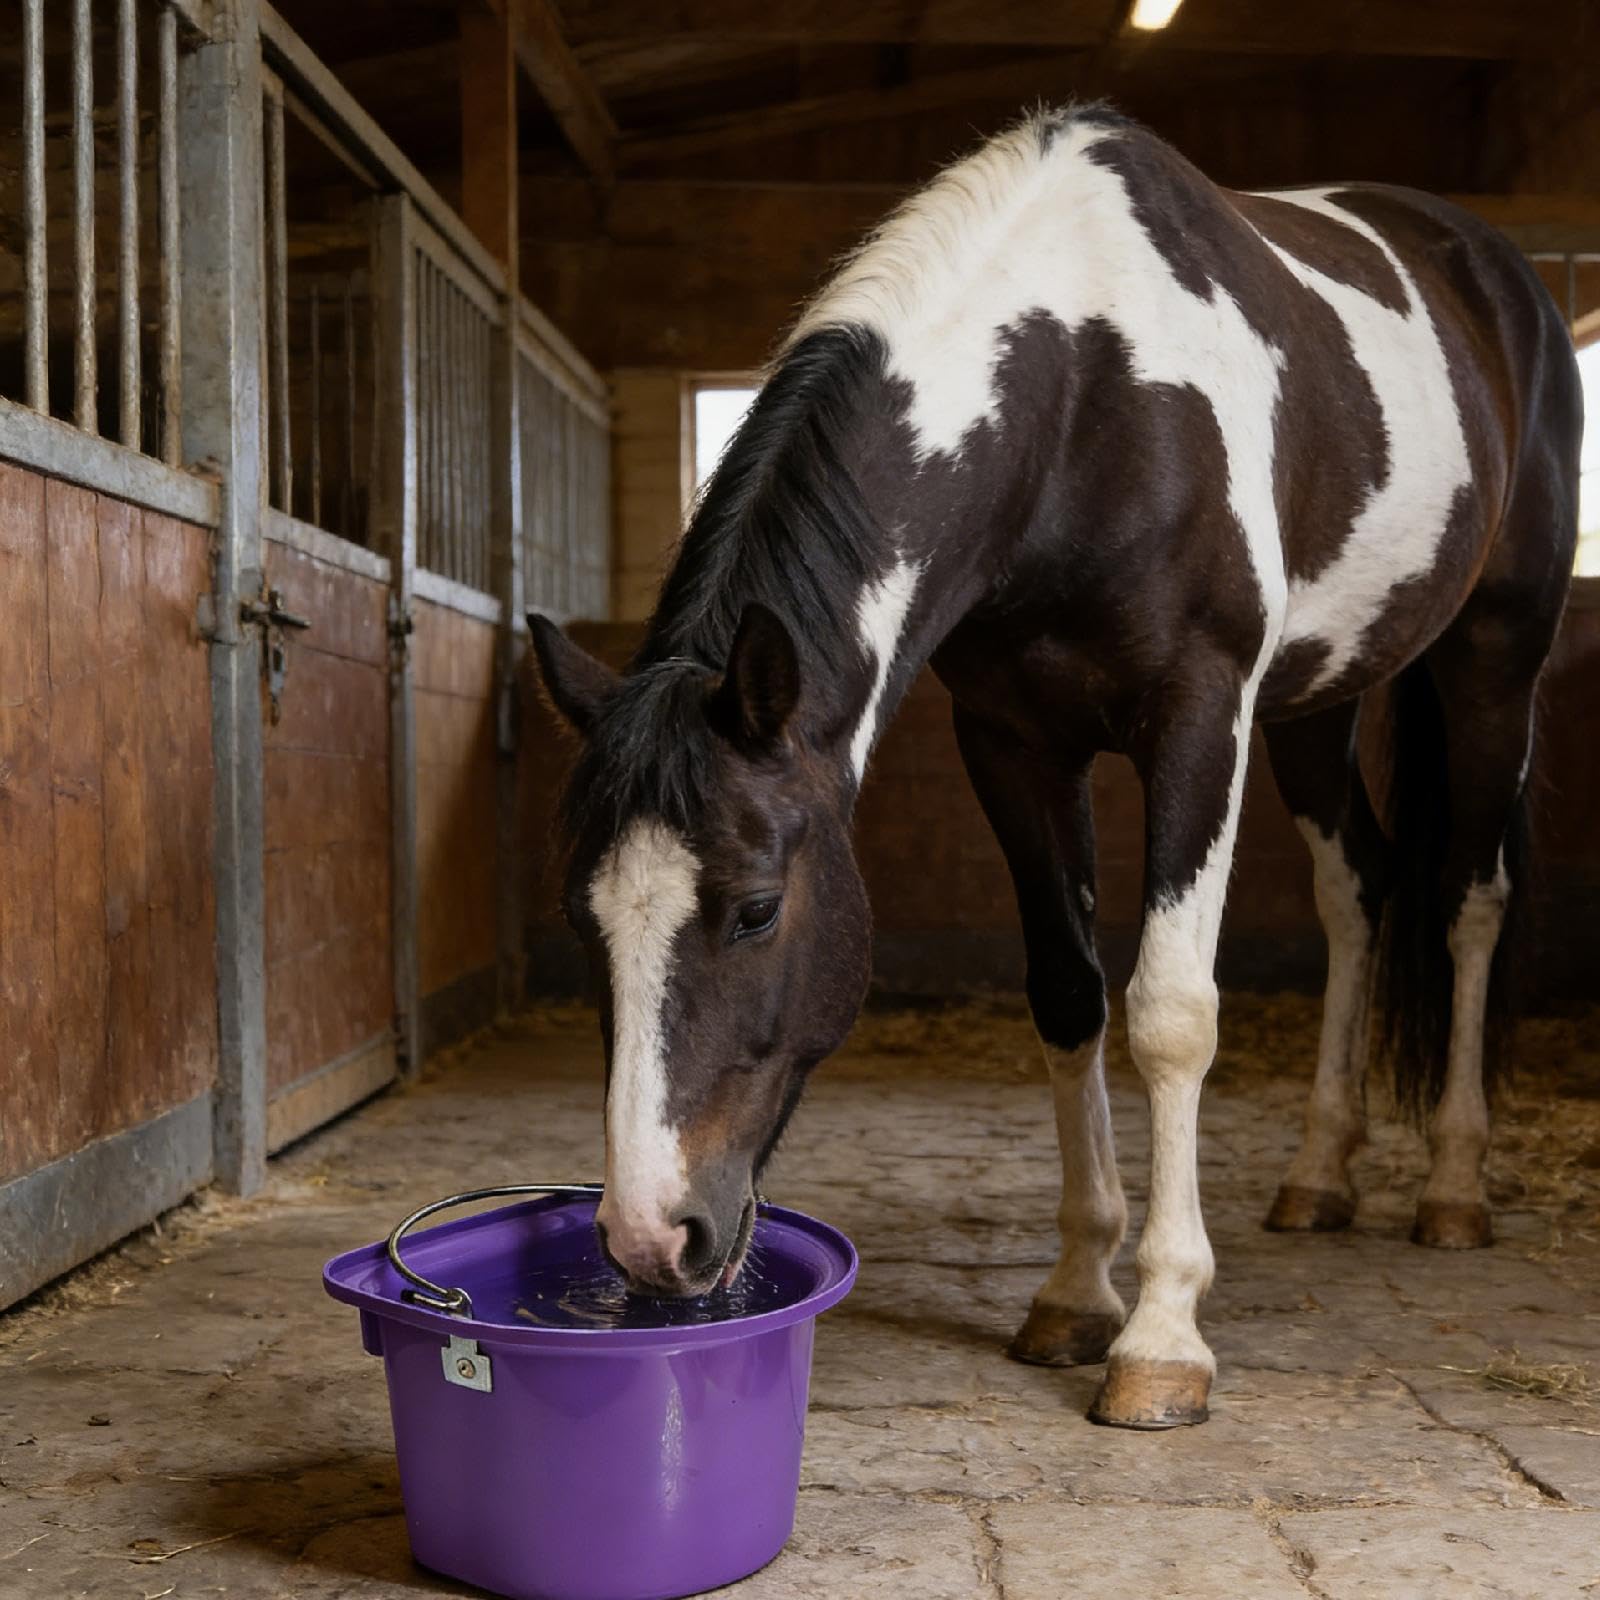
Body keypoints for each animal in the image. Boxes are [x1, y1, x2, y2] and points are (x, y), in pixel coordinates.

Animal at [529, 104, 1581, 1430]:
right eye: (584, 917)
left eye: (757, 909)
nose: (649, 1239)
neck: (1087, 388)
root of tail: (1495, 269)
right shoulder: (1014, 740)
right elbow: (1069, 994)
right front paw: (1080, 1291)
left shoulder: (1198, 717)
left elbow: (1171, 1012)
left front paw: (1163, 1335)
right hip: (1316, 700)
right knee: (1360, 892)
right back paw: (1319, 1172)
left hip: (1496, 656)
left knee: (1467, 898)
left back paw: (1451, 1185)